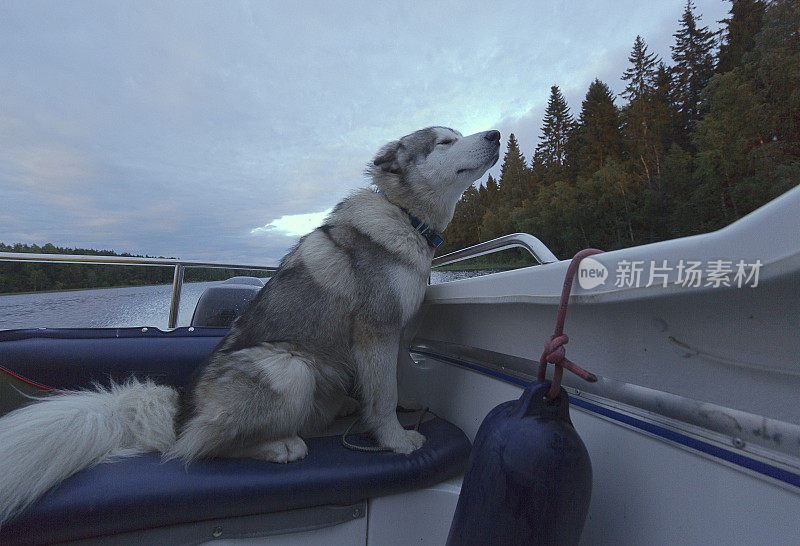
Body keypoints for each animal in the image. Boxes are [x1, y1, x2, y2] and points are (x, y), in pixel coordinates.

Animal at [0, 125, 500, 520]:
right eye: (444, 141)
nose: (495, 134)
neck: (406, 217)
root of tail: (180, 415)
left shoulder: (393, 333)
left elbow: (390, 383)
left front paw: (399, 414)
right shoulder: (376, 328)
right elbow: (384, 394)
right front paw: (395, 439)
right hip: (288, 367)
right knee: (202, 446)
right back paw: (278, 445)